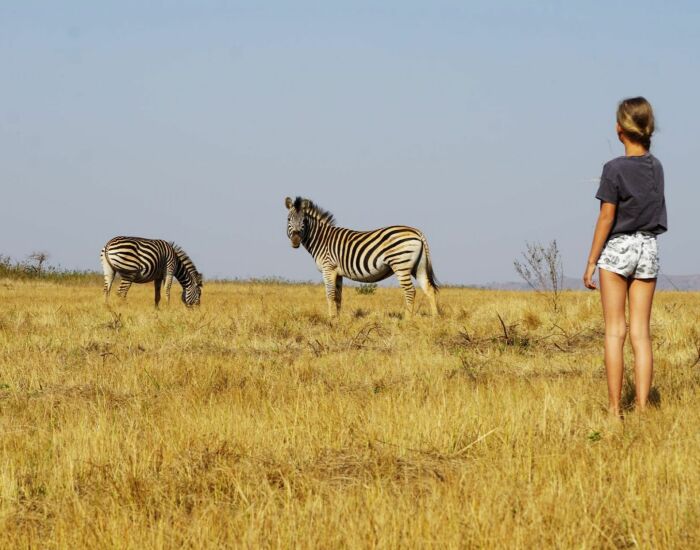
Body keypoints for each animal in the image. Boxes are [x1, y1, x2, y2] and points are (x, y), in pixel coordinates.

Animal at [284, 197, 438, 320]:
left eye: (304, 220)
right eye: (288, 219)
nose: (296, 241)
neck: (322, 239)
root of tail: (417, 232)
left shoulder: (328, 268)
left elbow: (330, 294)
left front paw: (331, 319)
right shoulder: (338, 272)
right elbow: (338, 296)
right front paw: (338, 319)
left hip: (401, 264)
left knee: (410, 291)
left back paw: (407, 320)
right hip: (418, 266)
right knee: (429, 289)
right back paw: (435, 318)